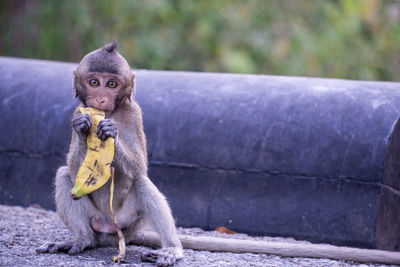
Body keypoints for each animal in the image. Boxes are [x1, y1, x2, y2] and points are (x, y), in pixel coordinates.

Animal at [36, 42, 183, 267]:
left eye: (112, 84)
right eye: (94, 82)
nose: (101, 98)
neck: (111, 113)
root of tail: (107, 231)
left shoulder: (134, 113)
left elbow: (140, 167)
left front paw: (111, 132)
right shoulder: (77, 111)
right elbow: (73, 169)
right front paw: (83, 129)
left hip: (126, 222)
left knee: (142, 182)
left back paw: (171, 249)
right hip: (95, 219)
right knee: (63, 174)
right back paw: (82, 240)